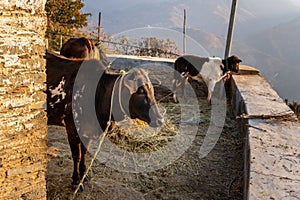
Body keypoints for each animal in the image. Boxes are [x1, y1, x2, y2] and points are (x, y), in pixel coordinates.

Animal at [46, 50, 164, 190]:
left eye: (152, 90)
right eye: (140, 91)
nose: (160, 120)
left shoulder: (86, 131)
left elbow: (84, 153)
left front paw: (84, 176)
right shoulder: (72, 127)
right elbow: (76, 155)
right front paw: (75, 181)